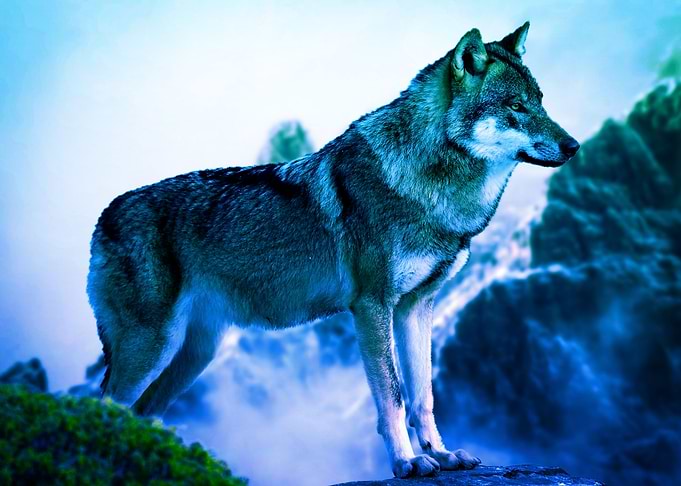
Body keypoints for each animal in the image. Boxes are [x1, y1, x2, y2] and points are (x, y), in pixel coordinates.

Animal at [87, 22, 579, 478]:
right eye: (516, 107)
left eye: (540, 101)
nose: (573, 146)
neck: (430, 188)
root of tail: (103, 216)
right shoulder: (373, 305)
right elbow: (393, 395)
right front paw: (407, 462)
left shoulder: (417, 306)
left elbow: (424, 395)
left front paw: (441, 455)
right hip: (153, 347)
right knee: (107, 406)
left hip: (194, 354)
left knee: (143, 413)